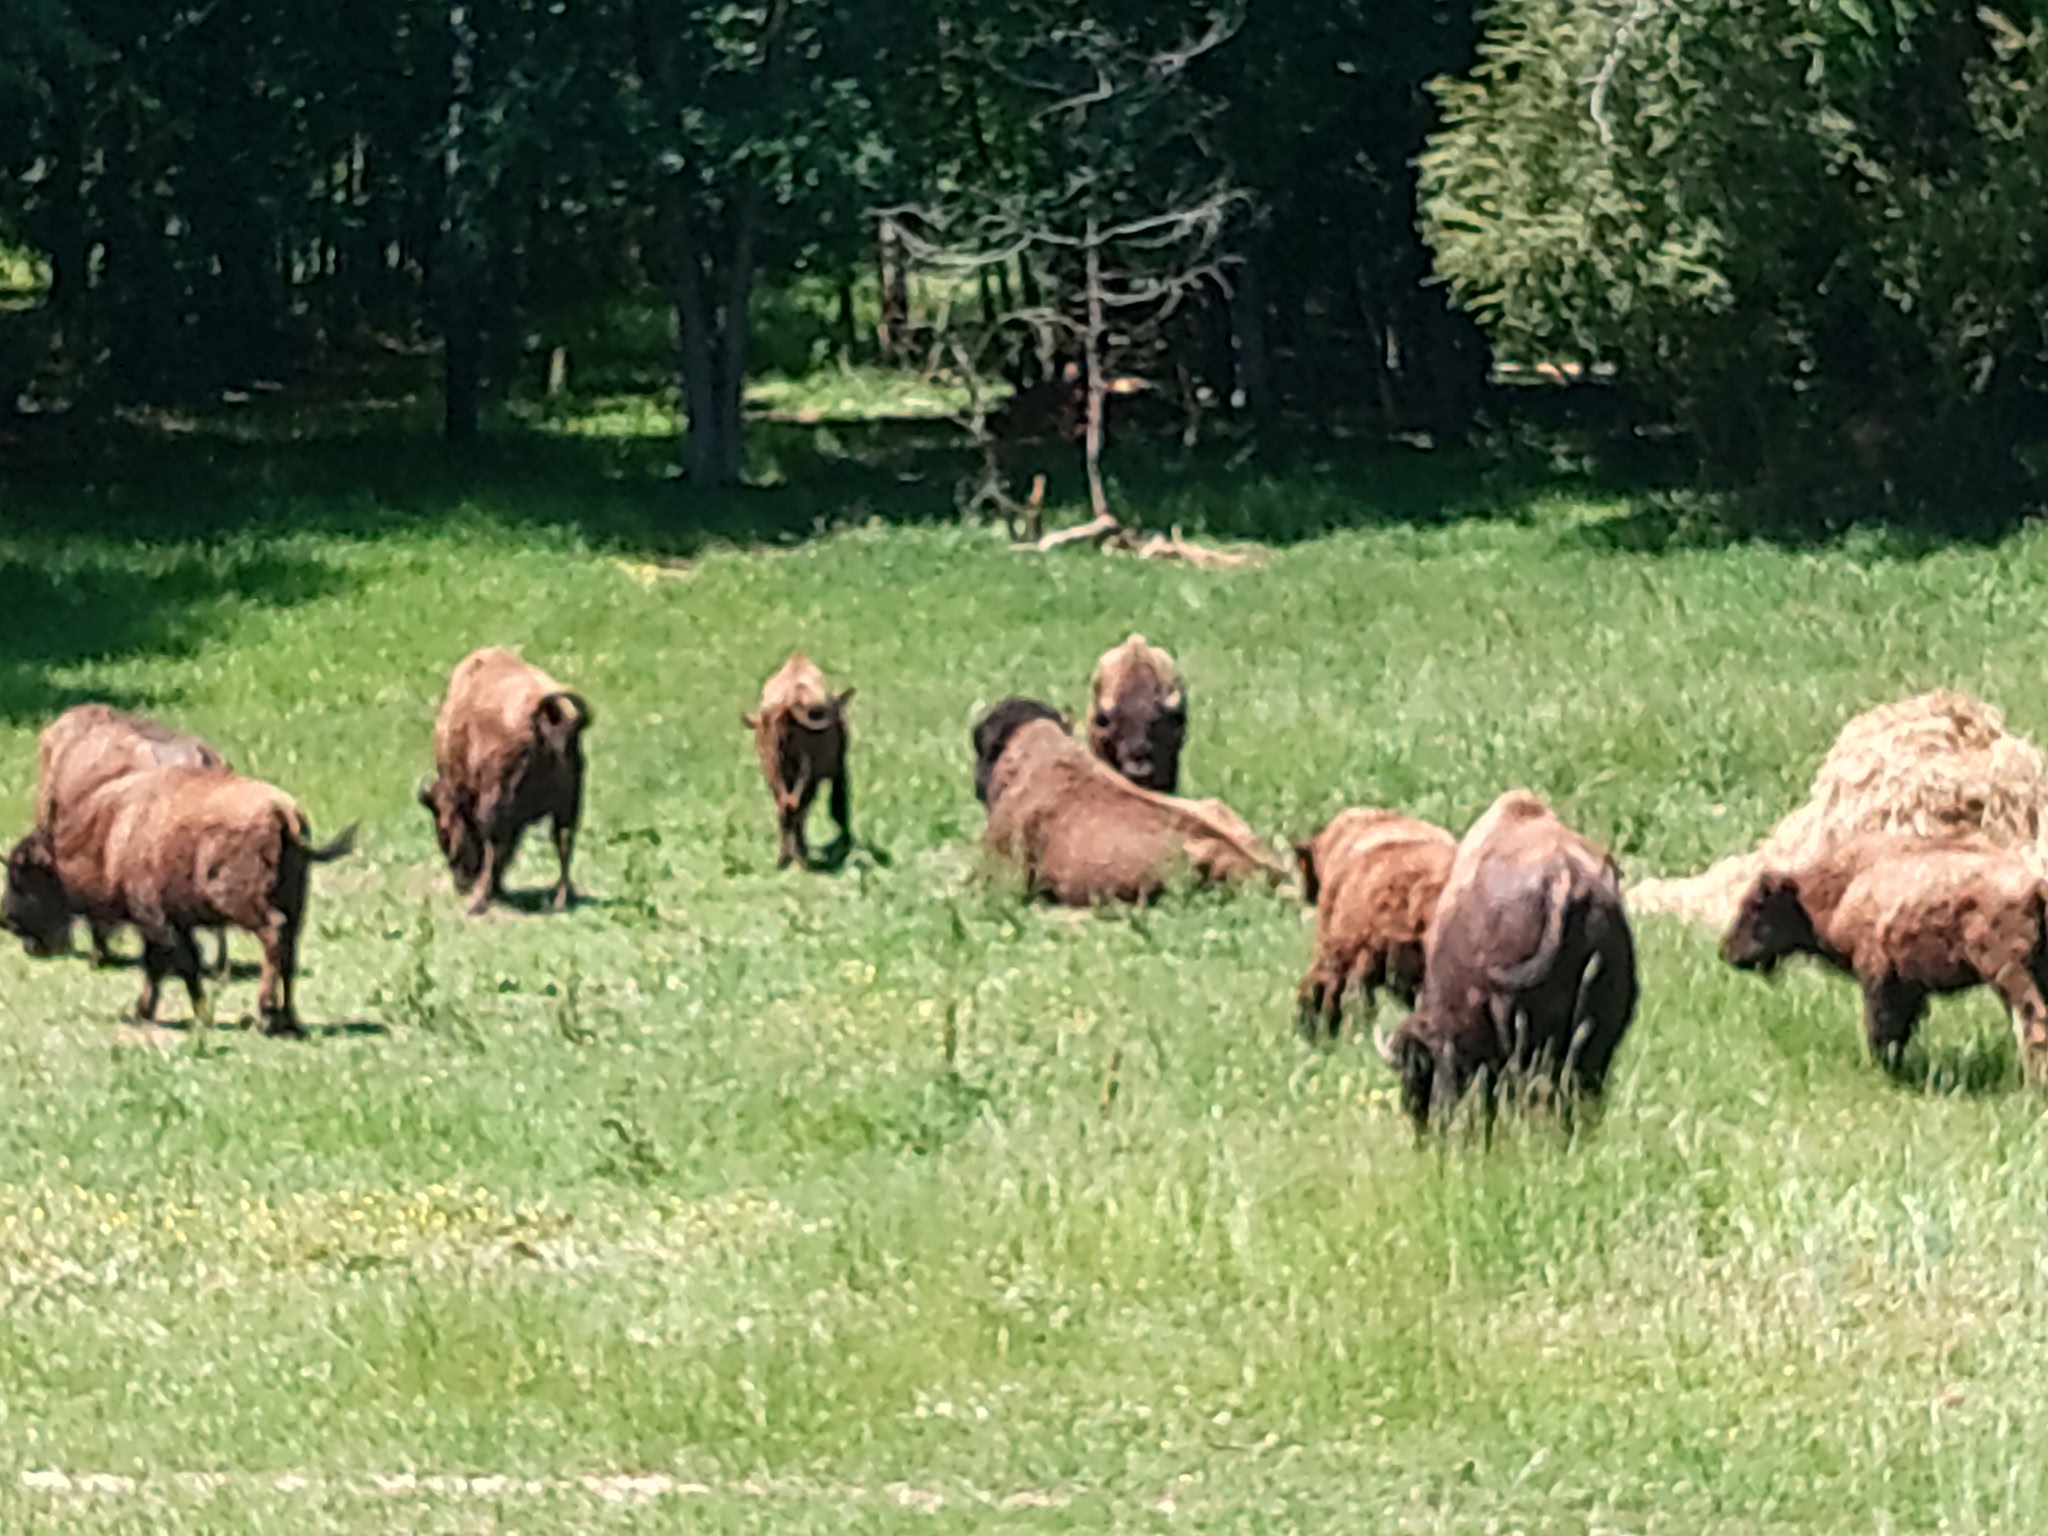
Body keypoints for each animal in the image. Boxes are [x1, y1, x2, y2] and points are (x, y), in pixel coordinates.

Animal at [1, 766, 355, 1035]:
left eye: (20, 876)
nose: (7, 920)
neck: (115, 833)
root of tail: (282, 813)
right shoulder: (169, 922)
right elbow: (160, 965)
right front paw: (145, 1011)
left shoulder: (156, 919)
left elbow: (181, 964)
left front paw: (199, 1015)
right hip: (296, 904)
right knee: (289, 955)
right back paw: (289, 1019)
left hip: (245, 905)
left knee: (273, 935)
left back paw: (267, 1013)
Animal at [418, 647, 590, 916]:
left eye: (443, 831)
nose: (460, 884)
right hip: (568, 807)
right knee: (564, 841)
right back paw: (561, 900)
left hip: (496, 804)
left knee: (496, 847)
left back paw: (477, 902)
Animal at [742, 652, 853, 869]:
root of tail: (787, 705)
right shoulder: (837, 771)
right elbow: (837, 806)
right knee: (797, 806)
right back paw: (799, 856)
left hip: (774, 770)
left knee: (786, 807)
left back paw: (785, 858)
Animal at [1721, 834, 2048, 1082]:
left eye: (1755, 905)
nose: (1726, 952)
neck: (1844, 889)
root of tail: (2036, 888)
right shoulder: (1910, 987)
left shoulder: (1879, 978)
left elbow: (1881, 1027)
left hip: (2008, 971)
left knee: (2032, 1019)